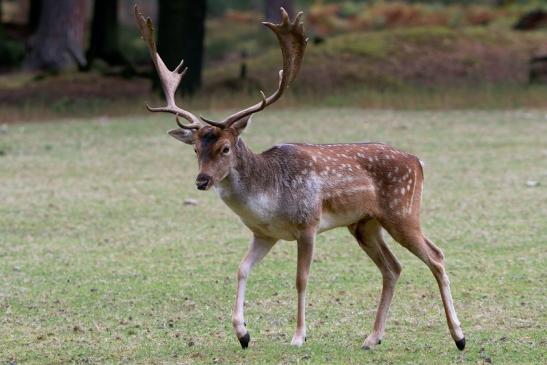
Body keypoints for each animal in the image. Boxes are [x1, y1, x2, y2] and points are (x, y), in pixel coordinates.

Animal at [135, 4, 464, 350]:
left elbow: (301, 279)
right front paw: (242, 333)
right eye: (196, 149)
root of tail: (419, 162)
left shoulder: (308, 224)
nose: (201, 181)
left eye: (225, 148)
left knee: (436, 256)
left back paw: (459, 337)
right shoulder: (264, 234)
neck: (269, 200)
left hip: (402, 210)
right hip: (364, 224)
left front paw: (298, 336)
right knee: (393, 268)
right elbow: (241, 269)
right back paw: (372, 338)